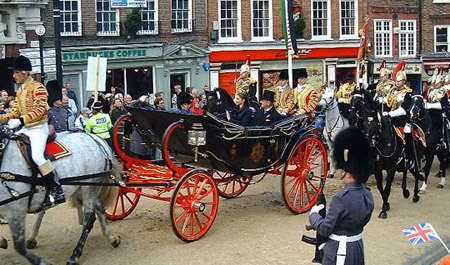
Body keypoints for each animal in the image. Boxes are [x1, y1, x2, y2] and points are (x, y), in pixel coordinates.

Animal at [0, 127, 121, 262]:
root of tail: (94, 138)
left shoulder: (15, 212)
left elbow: (19, 246)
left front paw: (42, 262)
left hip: (90, 185)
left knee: (89, 218)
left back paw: (75, 255)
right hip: (83, 186)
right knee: (99, 207)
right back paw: (111, 237)